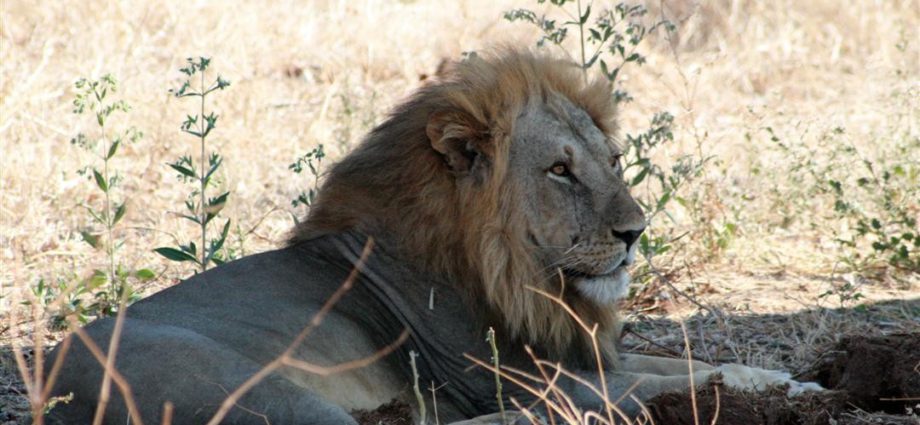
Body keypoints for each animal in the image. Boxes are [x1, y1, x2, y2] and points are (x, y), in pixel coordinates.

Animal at [48, 49, 819, 424]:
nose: (635, 232)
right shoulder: (507, 375)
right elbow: (666, 377)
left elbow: (676, 360)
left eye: (613, 161)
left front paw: (789, 378)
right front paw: (779, 387)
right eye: (560, 170)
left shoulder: (569, 354)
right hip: (270, 396)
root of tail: (54, 388)